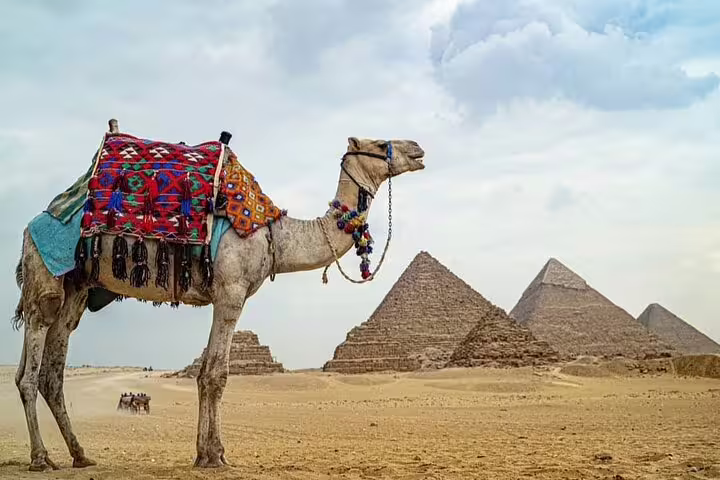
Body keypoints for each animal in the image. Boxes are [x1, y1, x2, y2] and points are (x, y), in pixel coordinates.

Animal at [12, 134, 425, 471]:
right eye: (379, 143)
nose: (418, 149)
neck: (272, 235)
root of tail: (30, 226)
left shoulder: (223, 297)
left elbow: (204, 373)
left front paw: (204, 452)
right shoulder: (231, 292)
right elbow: (216, 375)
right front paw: (215, 455)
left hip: (76, 287)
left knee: (51, 368)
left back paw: (80, 455)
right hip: (45, 275)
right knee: (30, 369)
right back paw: (41, 458)